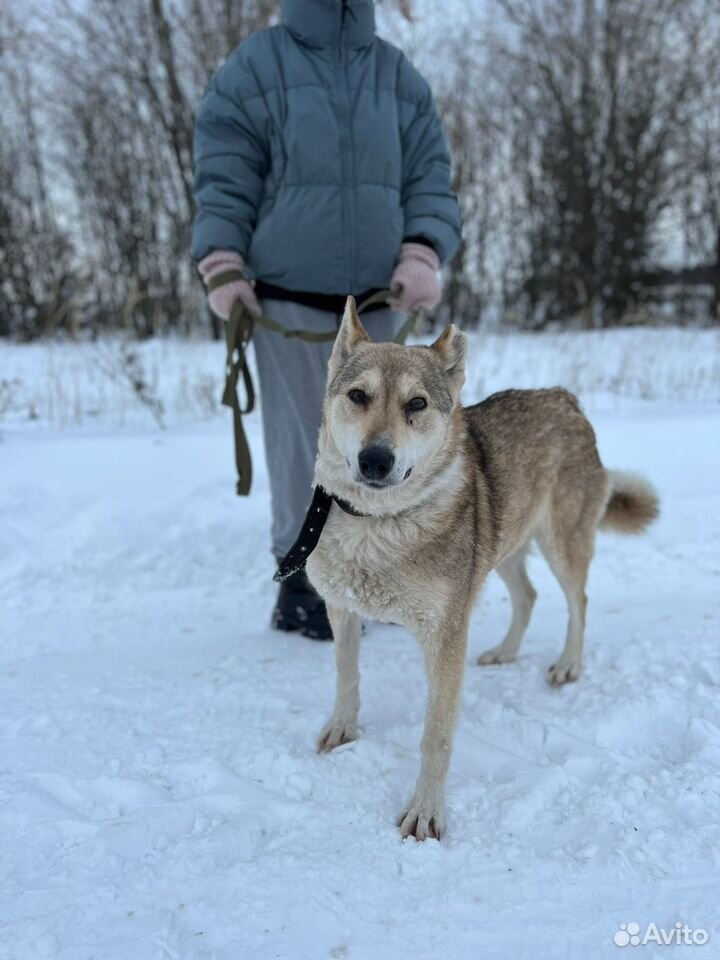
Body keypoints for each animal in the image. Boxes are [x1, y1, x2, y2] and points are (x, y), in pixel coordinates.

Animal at [304, 296, 660, 844]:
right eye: (358, 396)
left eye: (416, 405)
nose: (375, 459)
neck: (379, 527)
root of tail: (564, 397)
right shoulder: (341, 610)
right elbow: (347, 677)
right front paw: (342, 730)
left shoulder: (446, 635)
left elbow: (436, 737)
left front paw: (426, 814)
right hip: (503, 546)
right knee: (529, 596)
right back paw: (504, 653)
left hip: (560, 545)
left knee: (578, 601)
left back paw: (567, 665)